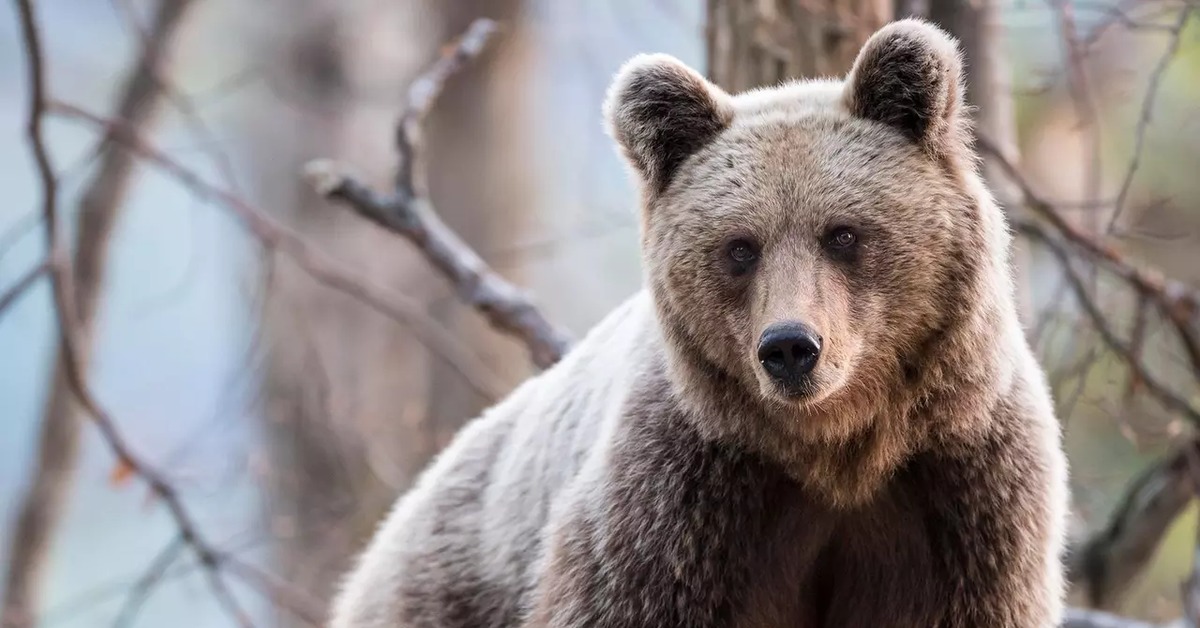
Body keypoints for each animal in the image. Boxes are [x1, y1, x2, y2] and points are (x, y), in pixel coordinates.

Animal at [328, 18, 1070, 628]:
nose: (791, 347)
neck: (839, 453)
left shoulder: (961, 495)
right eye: (740, 247)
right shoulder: (681, 506)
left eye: (844, 233)